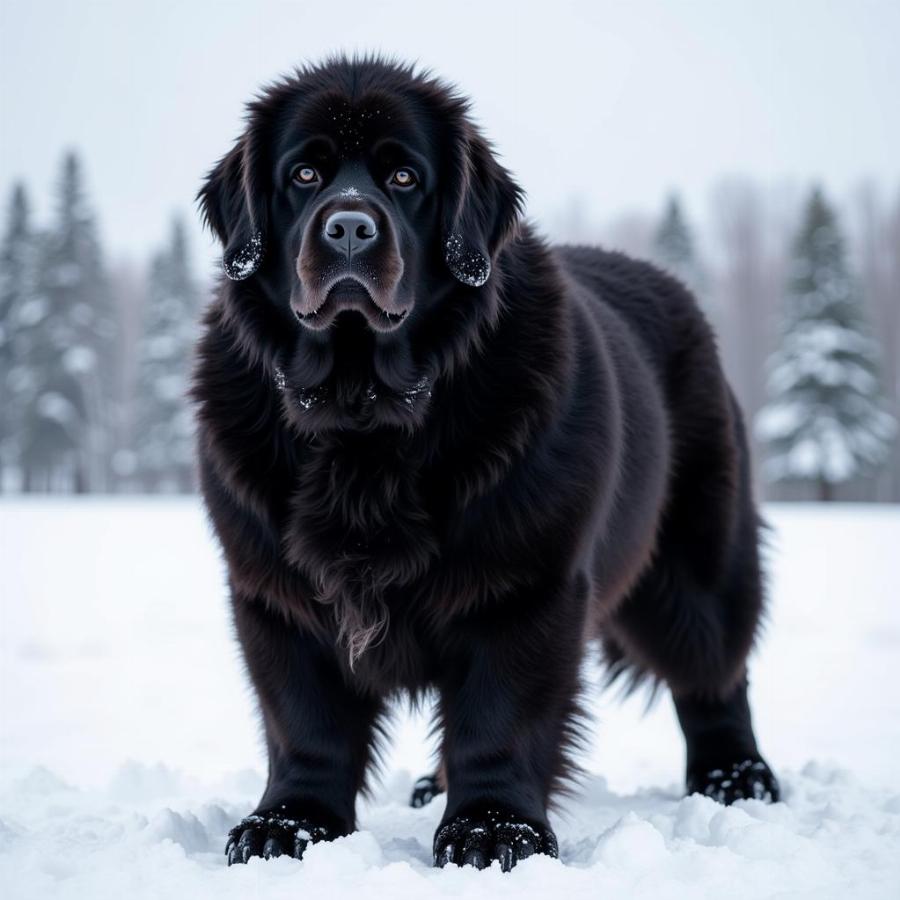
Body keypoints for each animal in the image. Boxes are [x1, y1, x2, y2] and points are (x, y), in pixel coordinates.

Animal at [192, 54, 780, 872]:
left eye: (405, 178)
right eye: (304, 174)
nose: (350, 226)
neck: (363, 415)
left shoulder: (520, 584)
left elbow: (498, 717)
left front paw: (493, 829)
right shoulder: (275, 590)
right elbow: (305, 722)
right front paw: (291, 823)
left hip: (696, 566)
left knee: (715, 670)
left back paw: (735, 777)